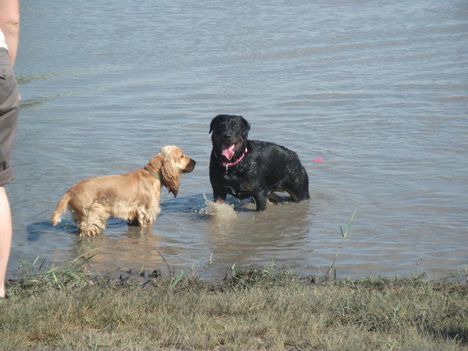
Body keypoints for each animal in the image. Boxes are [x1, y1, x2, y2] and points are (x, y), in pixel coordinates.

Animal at [50, 146, 196, 236]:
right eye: (182, 155)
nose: (195, 161)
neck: (152, 174)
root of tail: (70, 191)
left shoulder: (134, 215)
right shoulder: (146, 212)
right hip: (92, 216)